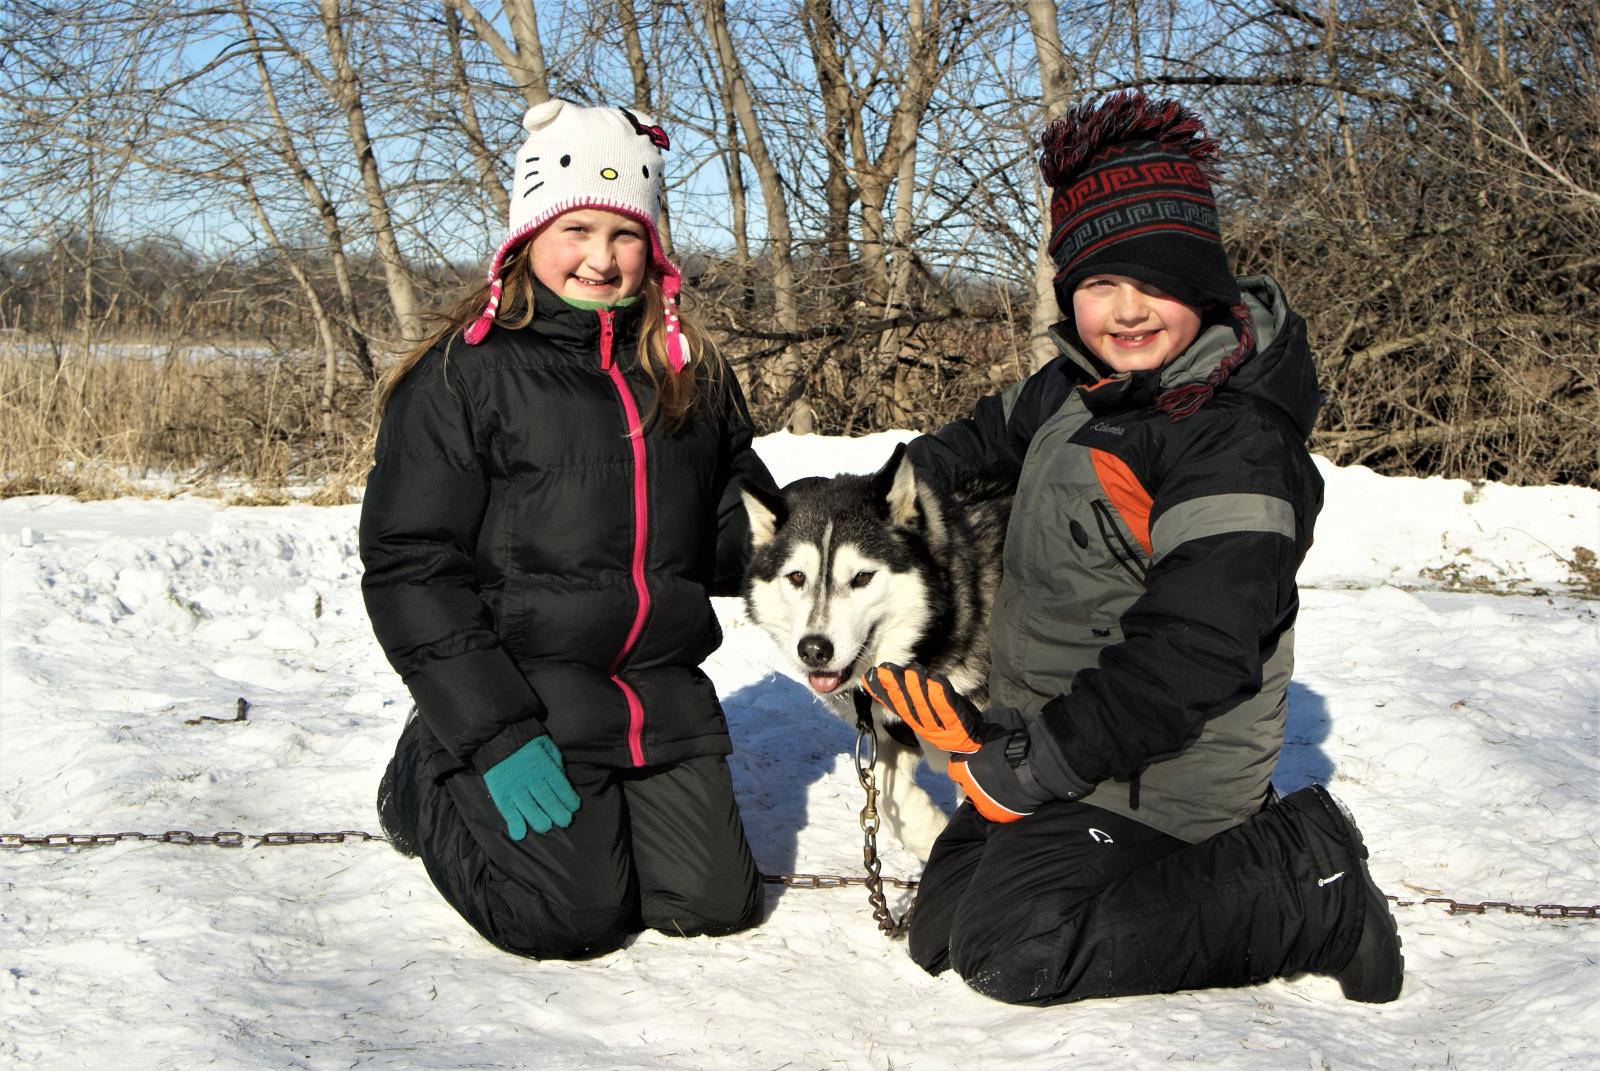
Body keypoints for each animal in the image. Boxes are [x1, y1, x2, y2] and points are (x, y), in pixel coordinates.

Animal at [739, 441, 1011, 858]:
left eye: (862, 577)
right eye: (797, 577)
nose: (813, 649)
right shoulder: (886, 736)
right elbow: (885, 793)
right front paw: (930, 832)